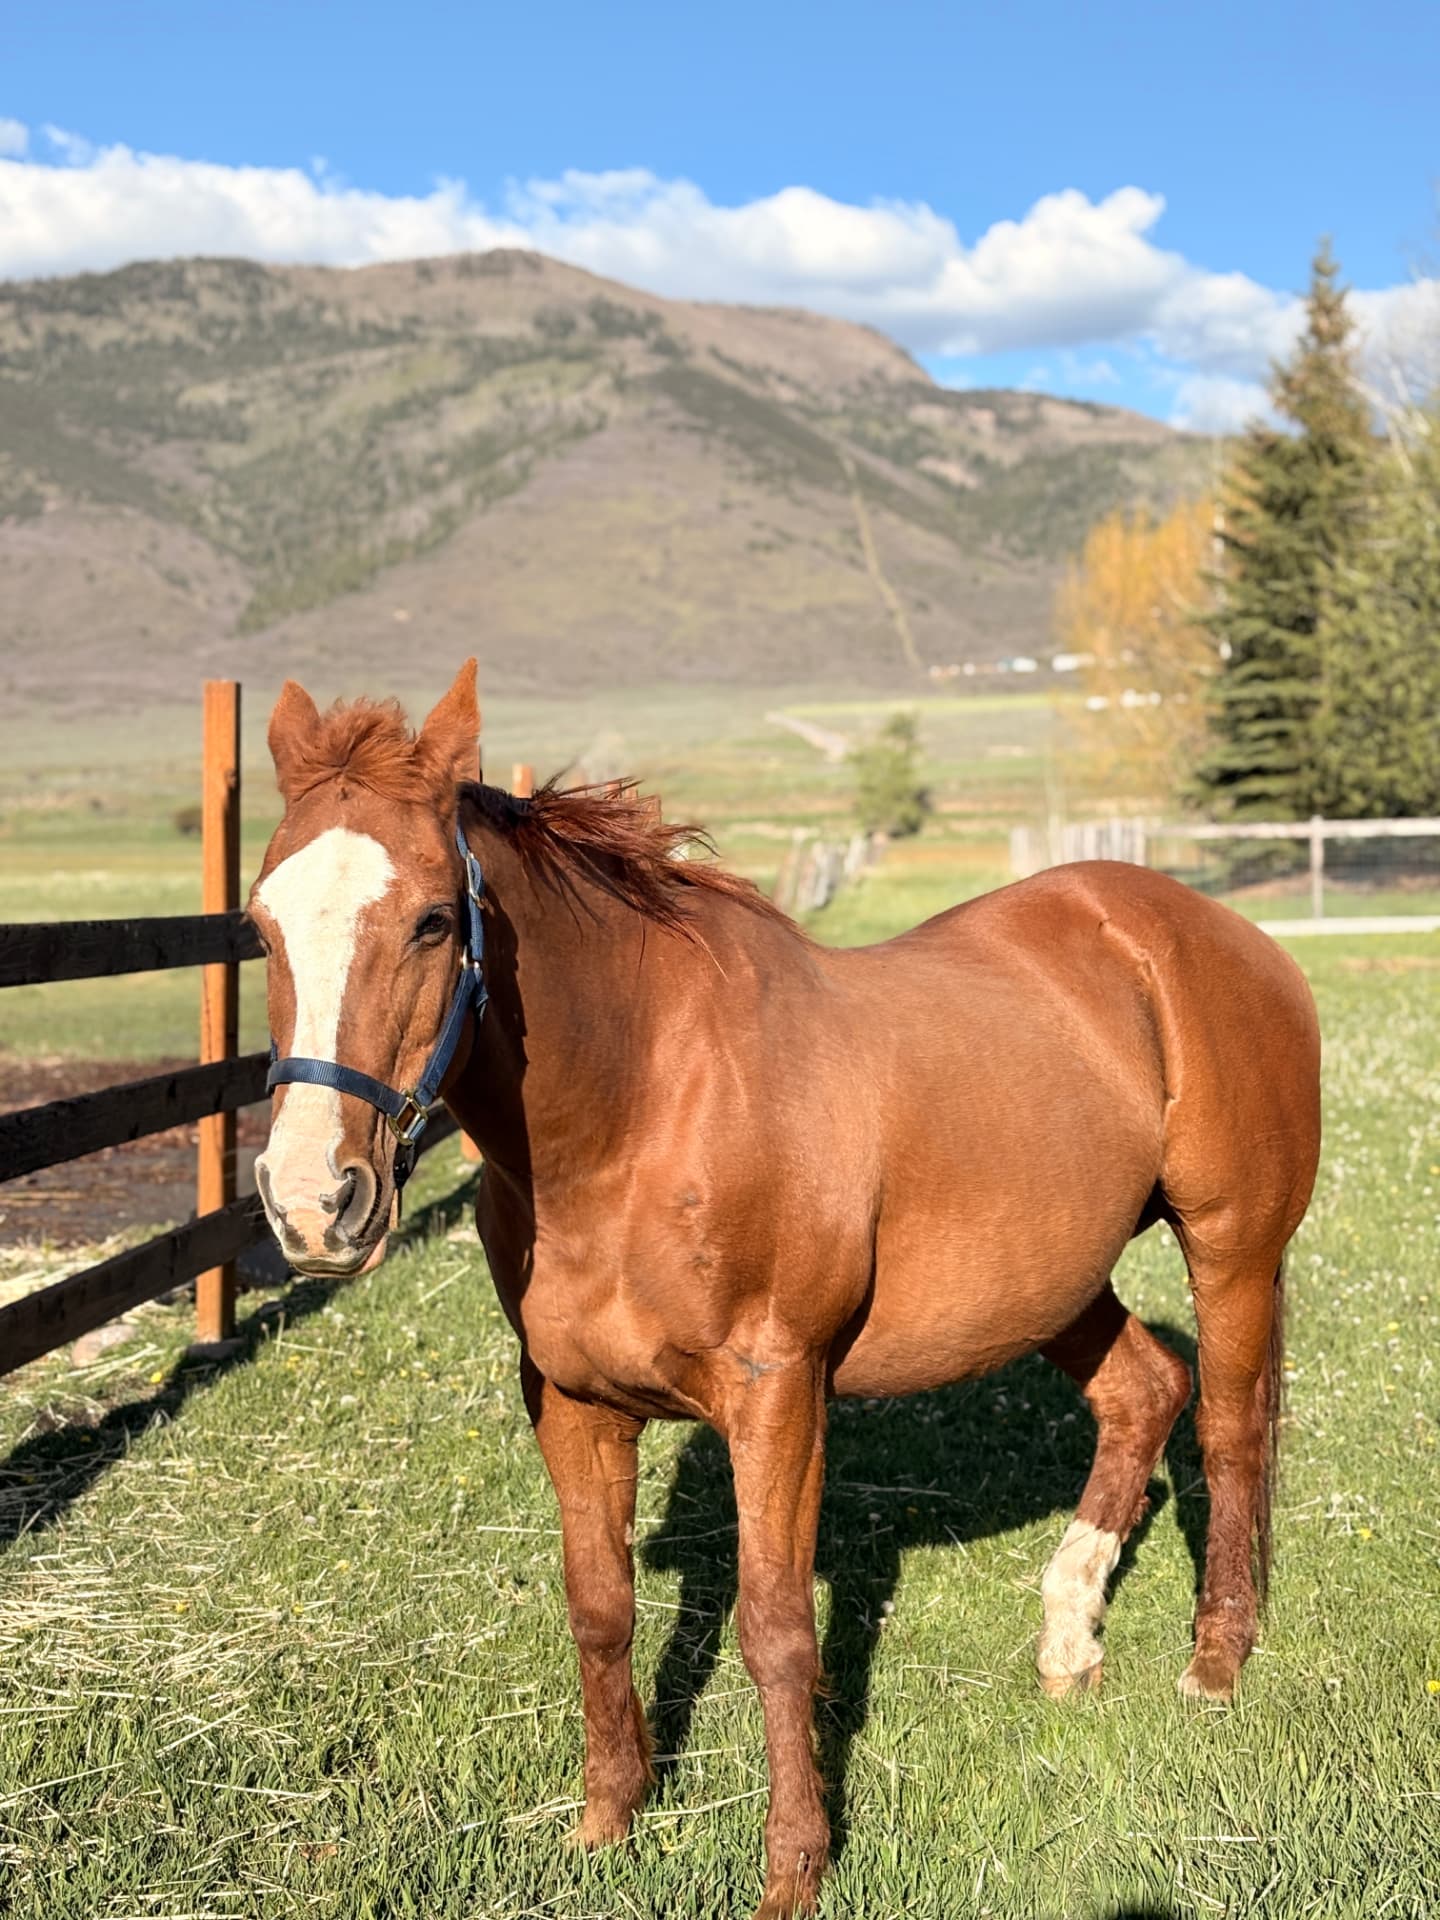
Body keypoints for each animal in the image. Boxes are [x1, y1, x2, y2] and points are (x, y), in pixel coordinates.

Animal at [250, 661, 1322, 1920]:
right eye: (260, 923)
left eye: (430, 919)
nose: (314, 1202)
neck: (638, 1110)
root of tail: (1212, 933)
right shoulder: (571, 1402)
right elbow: (601, 1608)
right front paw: (607, 1823)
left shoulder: (777, 1396)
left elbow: (775, 1629)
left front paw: (793, 1868)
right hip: (1056, 1283)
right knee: (1145, 1392)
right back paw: (1070, 1641)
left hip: (1230, 1248)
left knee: (1231, 1429)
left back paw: (1215, 1663)